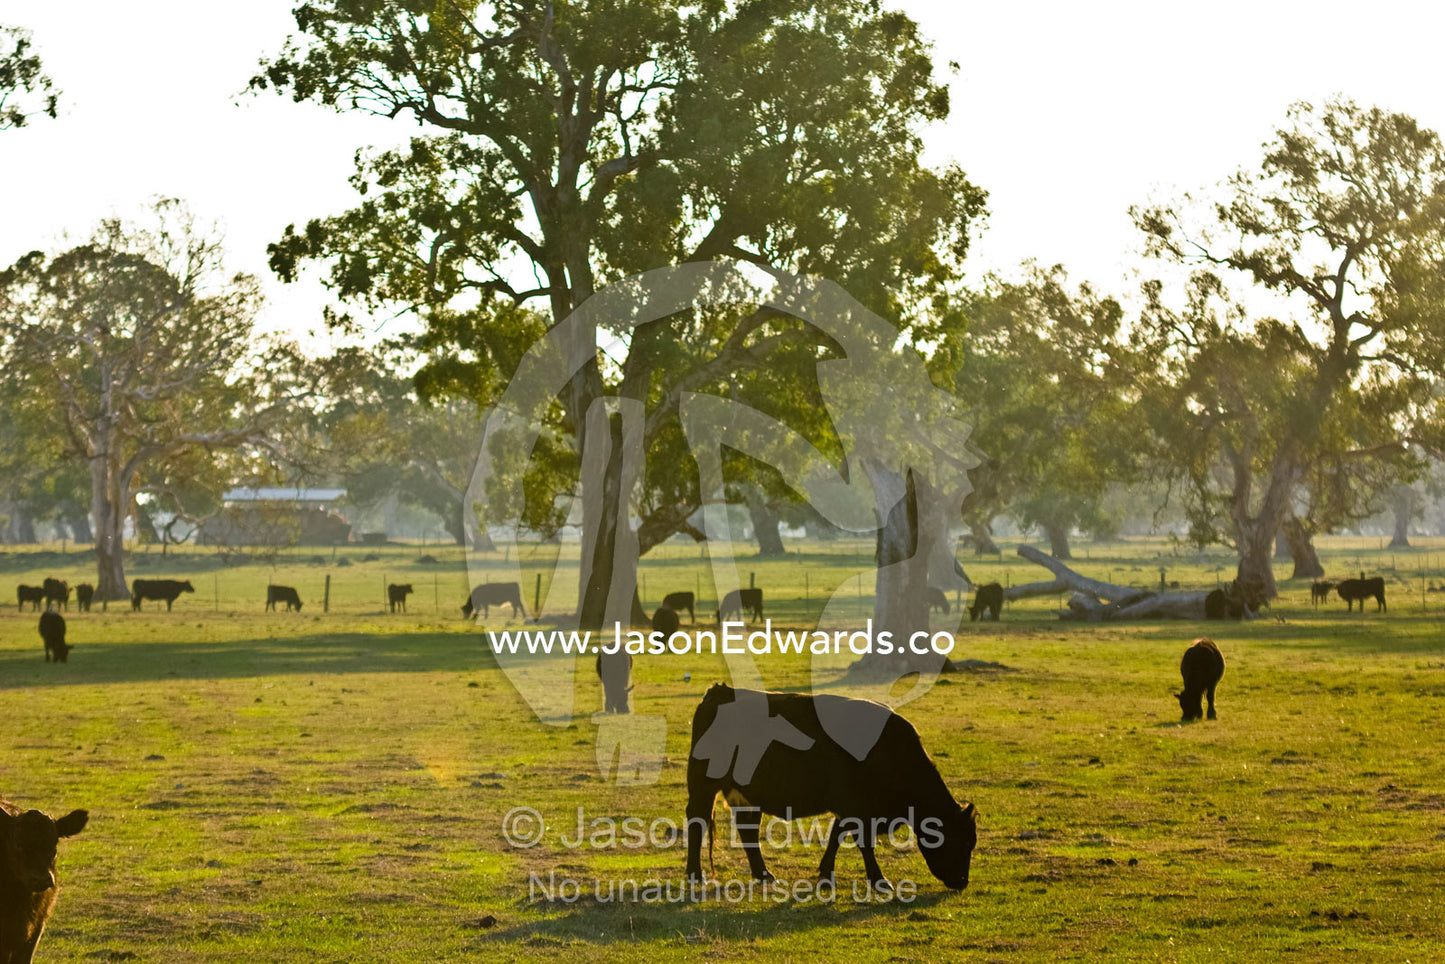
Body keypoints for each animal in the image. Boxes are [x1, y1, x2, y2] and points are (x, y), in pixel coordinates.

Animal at [684, 684, 977, 890]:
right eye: (960, 840)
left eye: (971, 841)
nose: (962, 882)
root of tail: (720, 691)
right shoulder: (856, 806)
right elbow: (863, 842)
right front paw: (879, 881)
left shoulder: (848, 806)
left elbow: (838, 835)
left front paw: (826, 874)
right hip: (703, 786)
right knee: (698, 822)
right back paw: (695, 874)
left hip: (747, 795)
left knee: (747, 831)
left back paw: (764, 875)